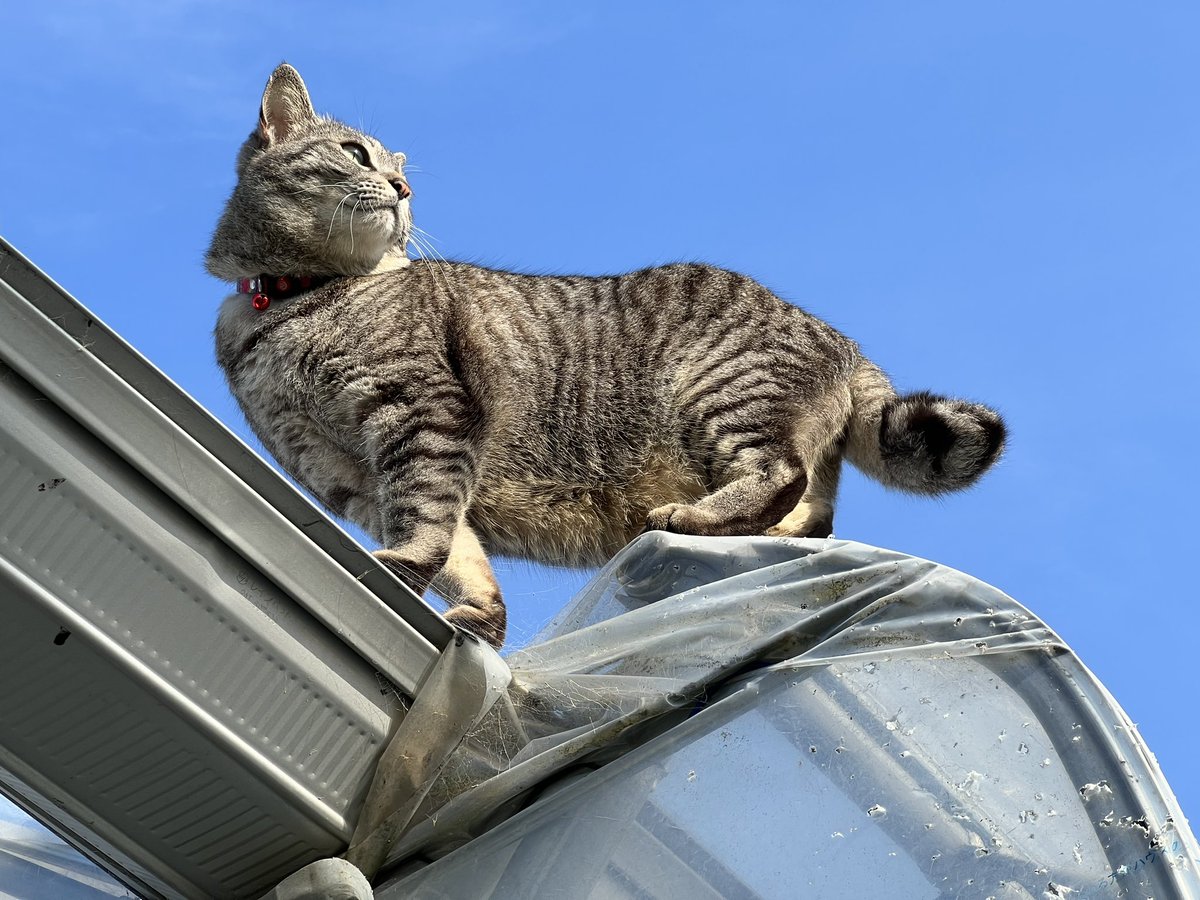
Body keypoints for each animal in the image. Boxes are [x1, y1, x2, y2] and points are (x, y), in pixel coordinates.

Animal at [206, 66, 1003, 652]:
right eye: (354, 153)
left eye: (397, 171)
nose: (402, 190)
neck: (292, 303)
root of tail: (844, 343)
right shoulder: (342, 476)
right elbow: (462, 553)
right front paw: (483, 621)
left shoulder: (424, 413)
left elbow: (427, 513)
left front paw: (403, 565)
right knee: (812, 521)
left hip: (719, 394)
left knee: (781, 477)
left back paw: (687, 517)